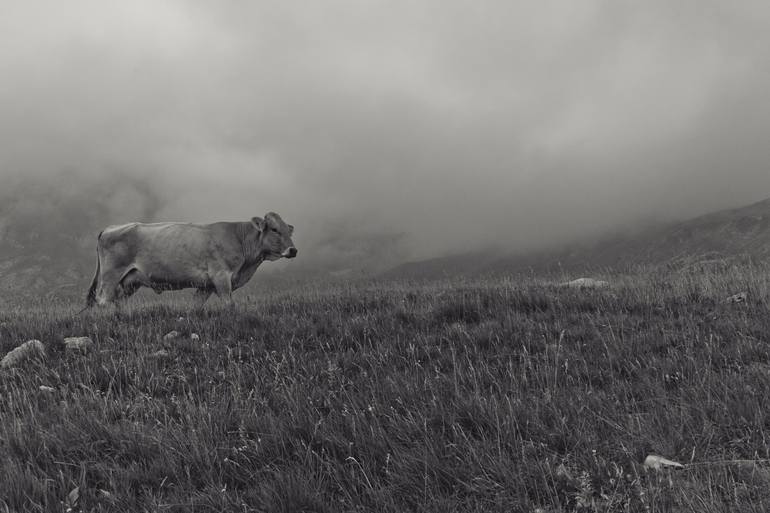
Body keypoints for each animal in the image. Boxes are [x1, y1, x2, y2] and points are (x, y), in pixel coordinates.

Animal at [85, 210, 296, 306]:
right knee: (103, 299)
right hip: (111, 274)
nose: (293, 250)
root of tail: (110, 227)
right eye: (275, 229)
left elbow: (196, 306)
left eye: (289, 230)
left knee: (118, 300)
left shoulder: (206, 285)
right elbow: (229, 304)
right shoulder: (221, 276)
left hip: (130, 281)